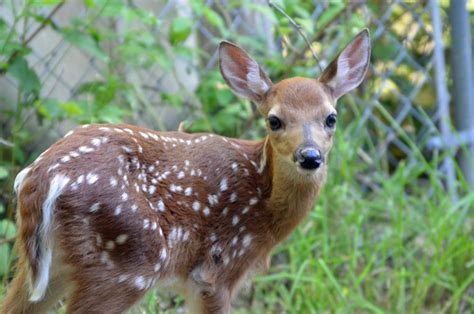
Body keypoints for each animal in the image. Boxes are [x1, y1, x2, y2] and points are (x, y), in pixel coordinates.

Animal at [1, 28, 370, 312]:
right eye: (274, 120)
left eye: (331, 118)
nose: (309, 156)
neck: (264, 206)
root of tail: (41, 175)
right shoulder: (216, 270)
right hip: (127, 260)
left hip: (52, 267)